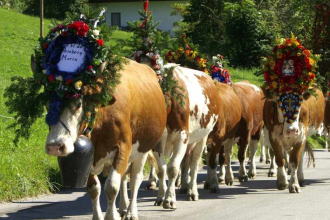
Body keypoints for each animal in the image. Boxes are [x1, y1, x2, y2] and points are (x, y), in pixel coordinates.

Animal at [44, 59, 168, 219]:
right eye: (48, 104)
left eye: (78, 104)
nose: (55, 146)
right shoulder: (90, 158)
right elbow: (94, 189)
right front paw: (100, 215)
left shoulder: (123, 148)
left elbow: (111, 186)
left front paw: (111, 216)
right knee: (125, 178)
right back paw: (123, 208)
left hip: (144, 147)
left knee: (135, 179)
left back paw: (131, 212)